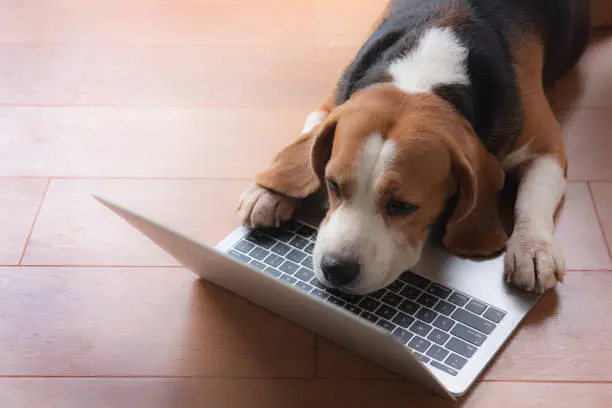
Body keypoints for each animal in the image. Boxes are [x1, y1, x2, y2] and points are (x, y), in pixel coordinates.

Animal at [237, 0, 592, 294]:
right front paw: (269, 193)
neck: (425, 76)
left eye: (403, 206)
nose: (336, 270)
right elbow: (306, 139)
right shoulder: (331, 101)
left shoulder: (546, 148)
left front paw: (533, 248)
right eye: (332, 185)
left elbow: (532, 197)